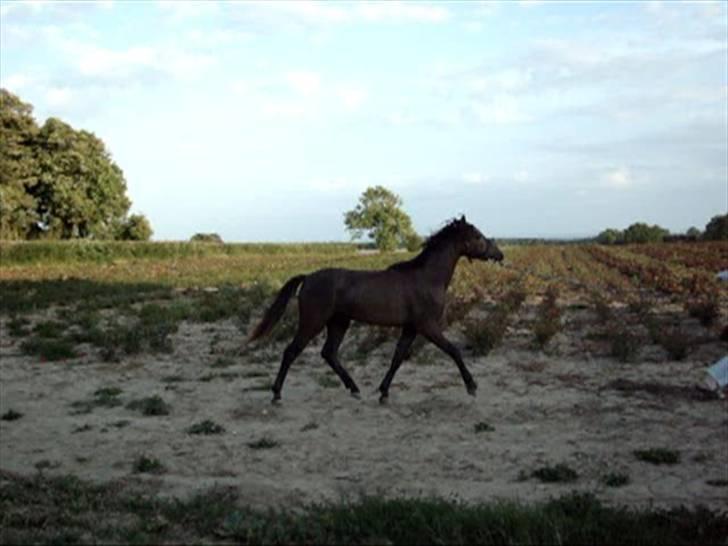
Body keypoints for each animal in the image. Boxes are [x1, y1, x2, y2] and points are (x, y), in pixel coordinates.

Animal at [248, 215, 504, 404]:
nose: (499, 254)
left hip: (339, 322)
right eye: (478, 236)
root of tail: (308, 277)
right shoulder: (428, 326)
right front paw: (472, 386)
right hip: (313, 321)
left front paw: (383, 392)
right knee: (291, 352)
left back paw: (354, 389)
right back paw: (276, 394)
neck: (427, 278)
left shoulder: (411, 328)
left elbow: (397, 358)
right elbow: (453, 351)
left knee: (329, 353)